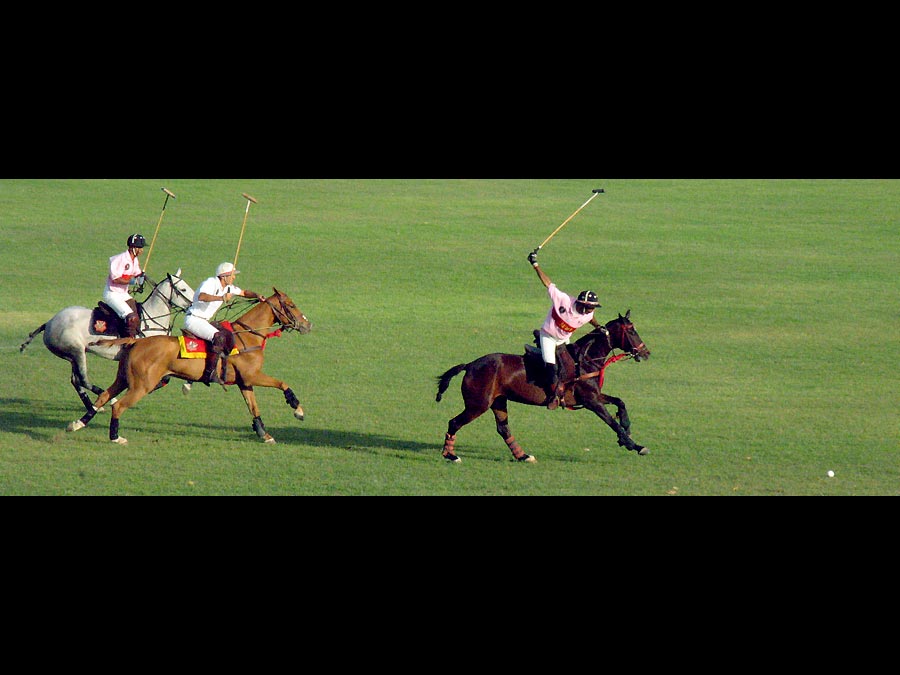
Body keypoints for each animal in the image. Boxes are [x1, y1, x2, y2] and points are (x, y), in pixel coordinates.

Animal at [20, 270, 194, 412]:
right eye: (183, 289)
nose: (193, 304)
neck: (151, 319)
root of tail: (49, 323)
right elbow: (164, 378)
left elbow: (167, 378)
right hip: (76, 350)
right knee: (83, 379)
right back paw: (108, 399)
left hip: (71, 355)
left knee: (75, 380)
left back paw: (92, 405)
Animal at [68, 288, 312, 446]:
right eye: (291, 305)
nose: (307, 324)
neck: (248, 337)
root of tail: (136, 341)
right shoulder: (253, 376)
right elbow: (282, 383)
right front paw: (297, 409)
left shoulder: (245, 382)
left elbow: (254, 408)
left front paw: (264, 434)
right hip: (141, 385)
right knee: (117, 406)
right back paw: (115, 437)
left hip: (123, 379)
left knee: (103, 397)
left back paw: (77, 424)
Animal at [434, 312, 652, 464]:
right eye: (631, 330)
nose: (646, 353)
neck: (585, 360)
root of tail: (470, 365)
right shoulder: (591, 401)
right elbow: (611, 422)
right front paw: (634, 444)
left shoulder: (593, 396)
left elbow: (620, 402)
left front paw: (627, 429)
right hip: (478, 404)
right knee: (454, 422)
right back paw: (451, 455)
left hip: (498, 401)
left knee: (503, 428)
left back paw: (523, 456)